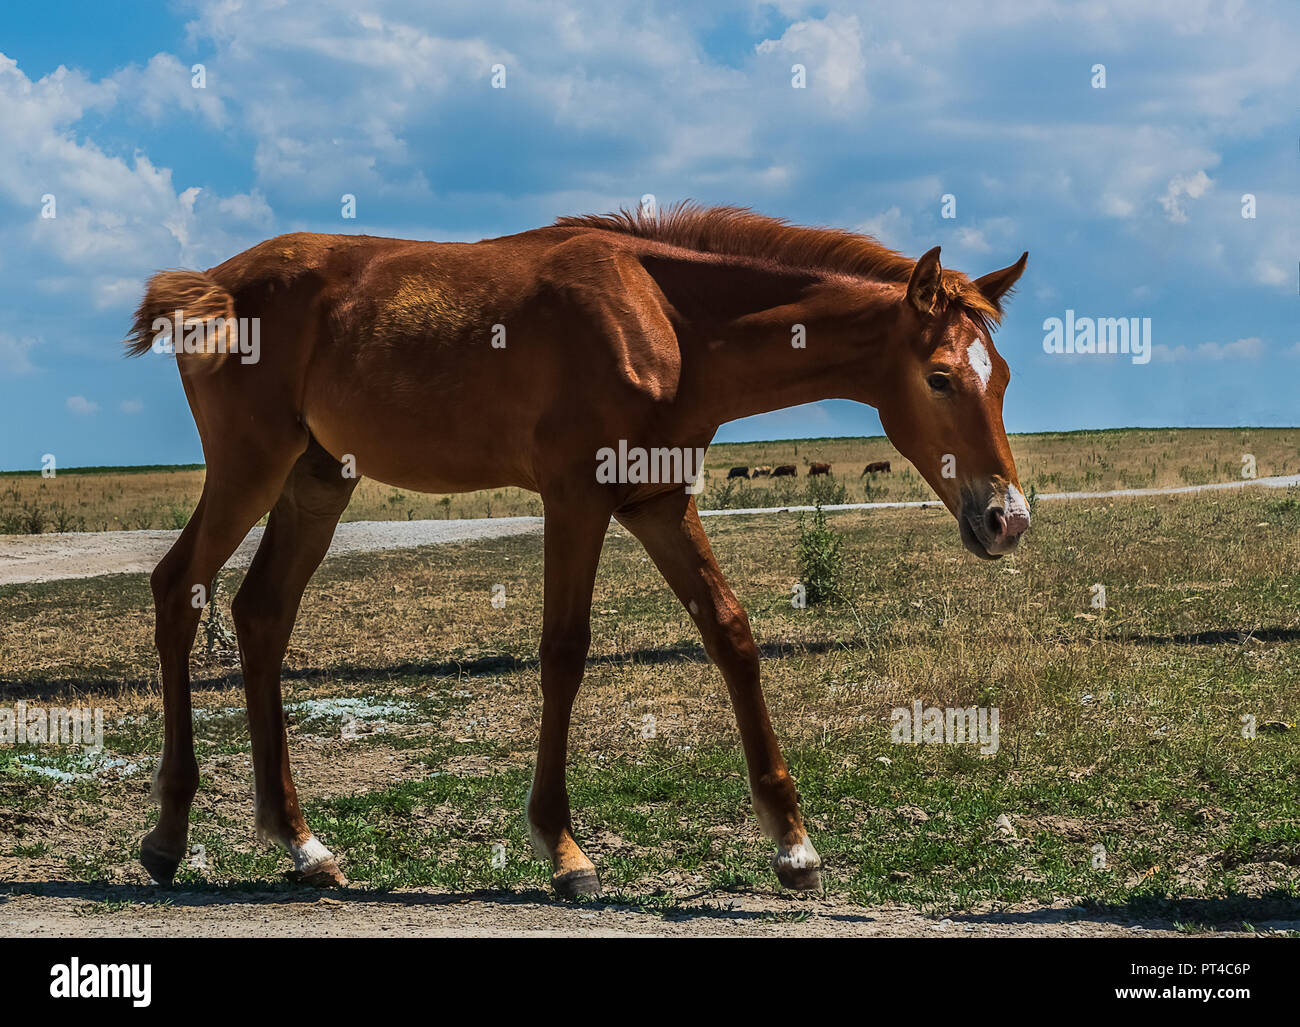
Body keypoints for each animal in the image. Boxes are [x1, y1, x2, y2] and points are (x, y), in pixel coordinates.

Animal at [124, 203, 1030, 898]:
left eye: (1004, 376)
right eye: (941, 376)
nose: (1006, 518)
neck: (667, 317)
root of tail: (214, 284)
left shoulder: (660, 503)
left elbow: (731, 635)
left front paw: (793, 843)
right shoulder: (576, 499)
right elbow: (564, 651)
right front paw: (563, 850)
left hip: (316, 479)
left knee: (261, 612)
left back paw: (301, 843)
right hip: (250, 467)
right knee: (177, 588)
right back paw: (168, 833)